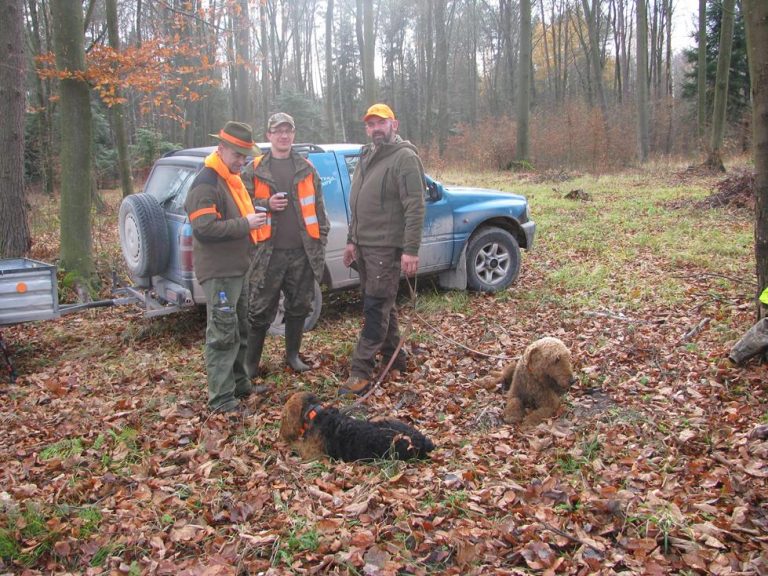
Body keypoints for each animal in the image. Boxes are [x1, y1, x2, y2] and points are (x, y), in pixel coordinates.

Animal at [280, 390, 436, 462]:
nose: (281, 434)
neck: (315, 413)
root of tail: (424, 441)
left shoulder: (311, 454)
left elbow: (296, 445)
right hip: (382, 419)